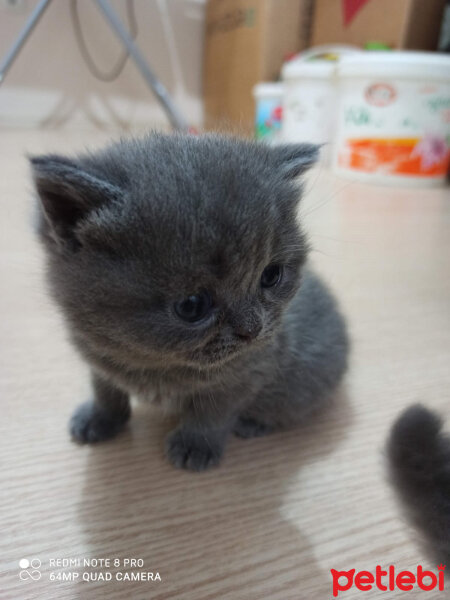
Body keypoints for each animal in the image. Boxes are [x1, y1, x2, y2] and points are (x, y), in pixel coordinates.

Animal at [29, 134, 350, 472]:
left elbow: (214, 411)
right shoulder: (97, 355)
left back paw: (253, 423)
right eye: (192, 305)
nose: (253, 329)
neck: (151, 362)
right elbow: (105, 388)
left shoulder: (248, 372)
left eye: (271, 275)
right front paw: (100, 418)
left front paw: (196, 445)